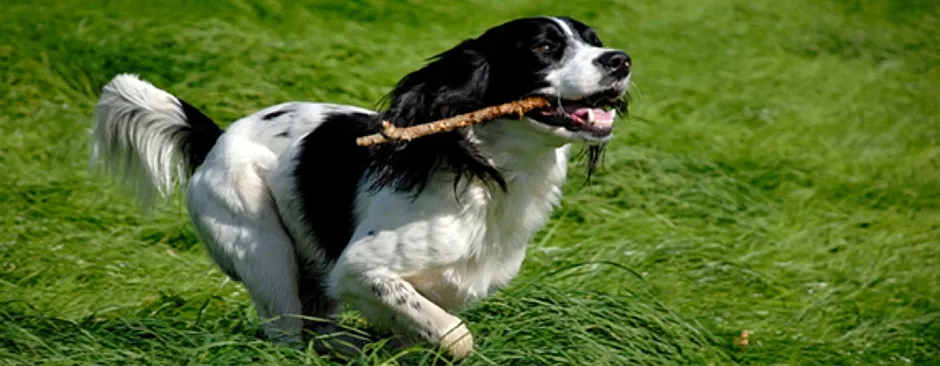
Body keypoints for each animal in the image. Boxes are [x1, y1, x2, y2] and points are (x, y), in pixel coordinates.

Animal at [90, 16, 632, 358]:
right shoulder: (360, 270)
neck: (486, 171)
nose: (620, 60)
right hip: (263, 252)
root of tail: (217, 136)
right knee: (288, 335)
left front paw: (381, 350)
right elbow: (456, 335)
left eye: (594, 39)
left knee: (317, 331)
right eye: (544, 47)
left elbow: (418, 331)